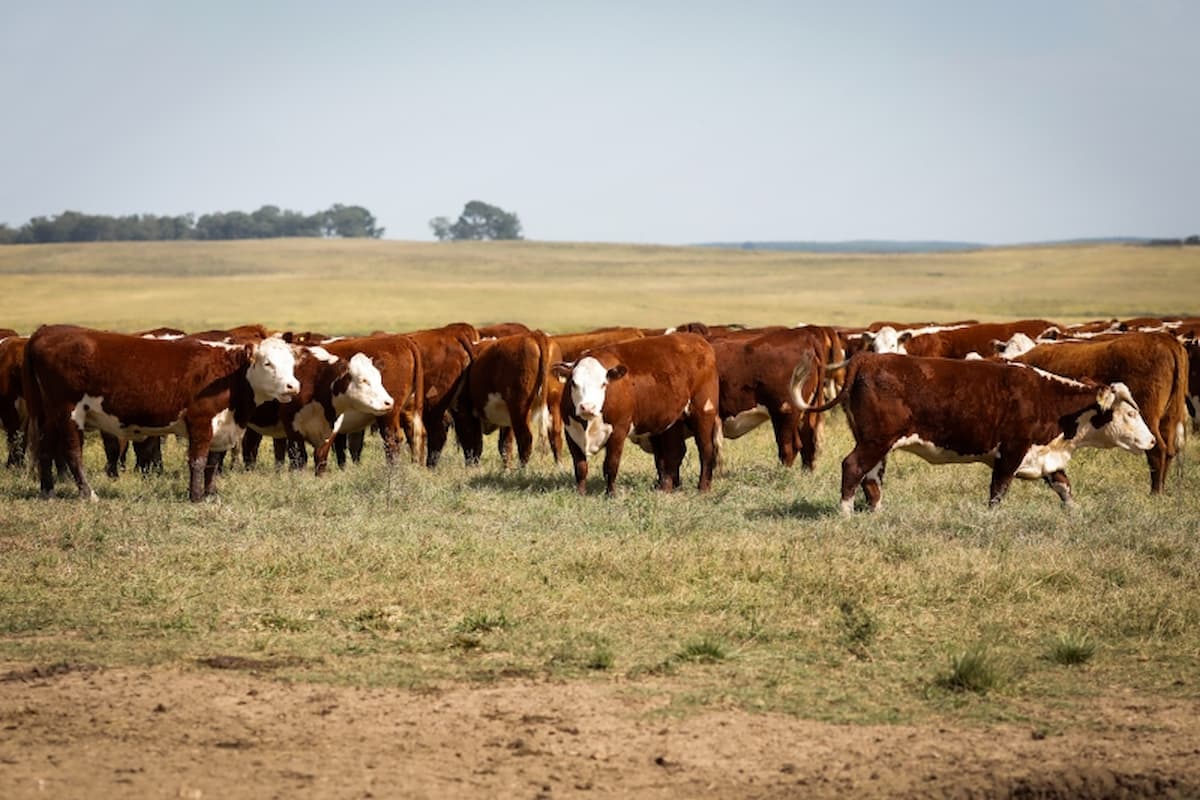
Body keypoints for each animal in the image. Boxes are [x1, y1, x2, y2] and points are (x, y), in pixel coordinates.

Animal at [24, 323, 300, 501]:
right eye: (268, 363)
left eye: (292, 363)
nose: (293, 386)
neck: (229, 375)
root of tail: (45, 331)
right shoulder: (200, 421)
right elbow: (198, 460)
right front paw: (196, 497)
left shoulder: (223, 425)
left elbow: (213, 461)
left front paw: (211, 495)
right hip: (68, 412)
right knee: (73, 453)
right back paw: (88, 493)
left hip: (50, 414)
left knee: (45, 449)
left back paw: (47, 491)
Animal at [458, 331, 561, 470]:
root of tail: (535, 335)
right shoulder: (506, 418)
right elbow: (505, 445)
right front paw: (506, 469)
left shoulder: (466, 413)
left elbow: (473, 442)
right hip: (553, 404)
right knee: (555, 435)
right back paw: (559, 466)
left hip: (520, 408)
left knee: (525, 439)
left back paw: (522, 470)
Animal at [552, 331, 720, 494]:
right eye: (573, 383)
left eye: (603, 384)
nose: (587, 407)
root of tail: (698, 340)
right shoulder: (571, 432)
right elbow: (580, 467)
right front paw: (580, 493)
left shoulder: (618, 431)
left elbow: (611, 465)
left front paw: (611, 494)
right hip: (673, 421)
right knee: (674, 452)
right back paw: (666, 488)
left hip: (704, 412)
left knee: (706, 450)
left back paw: (703, 488)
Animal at [1012, 331, 1190, 494]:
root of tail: (1165, 339)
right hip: (1169, 418)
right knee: (1168, 451)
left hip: (1148, 417)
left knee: (1157, 450)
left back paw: (1155, 493)